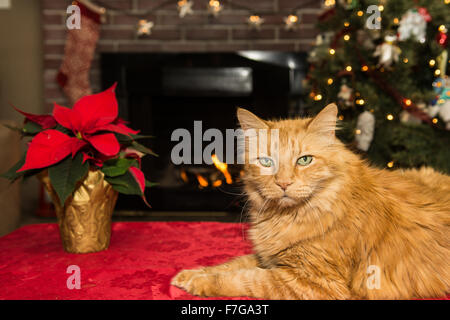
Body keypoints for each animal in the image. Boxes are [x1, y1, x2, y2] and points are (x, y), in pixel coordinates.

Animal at [171, 104, 448, 298]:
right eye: (266, 162)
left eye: (304, 160)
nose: (283, 183)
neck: (285, 218)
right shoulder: (268, 258)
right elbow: (231, 264)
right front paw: (189, 274)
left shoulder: (313, 281)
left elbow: (245, 278)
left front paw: (199, 282)